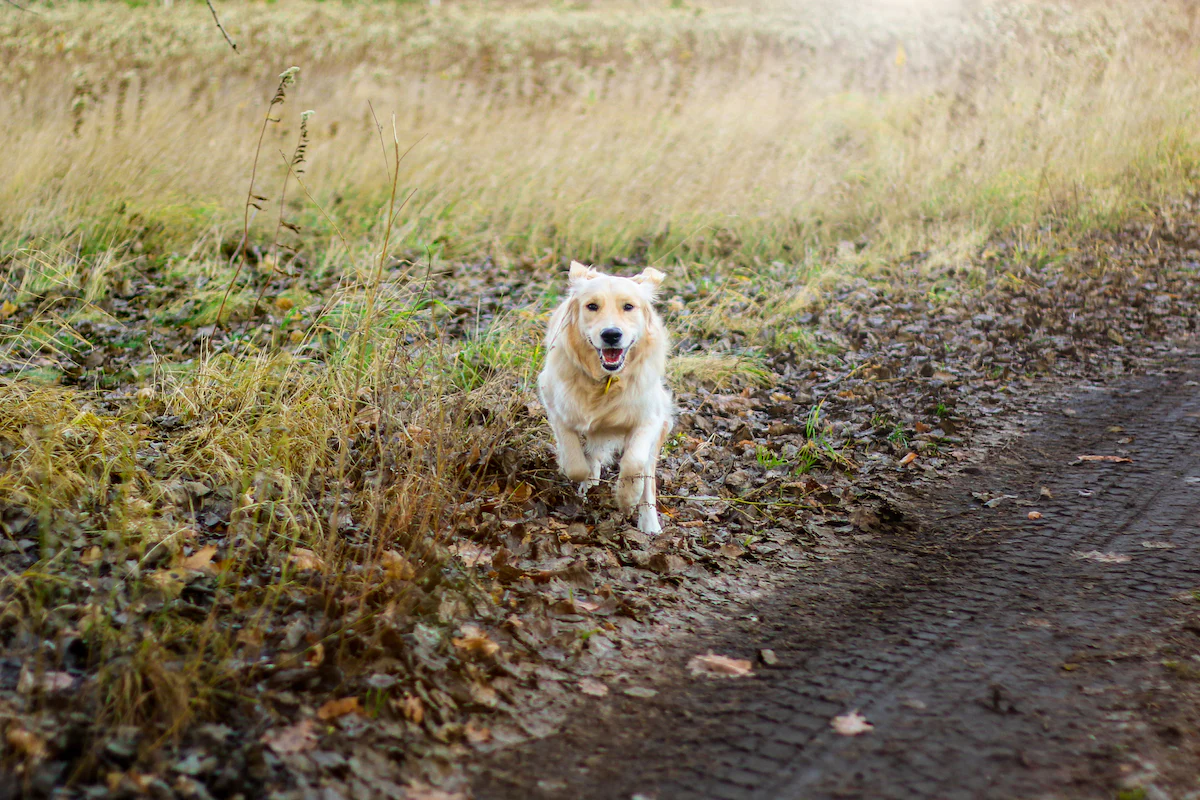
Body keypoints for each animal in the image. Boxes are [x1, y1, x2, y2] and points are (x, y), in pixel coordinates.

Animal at [537, 262, 676, 534]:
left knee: (648, 477)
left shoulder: (650, 418)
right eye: (592, 306)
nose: (611, 334)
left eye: (628, 306)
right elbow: (574, 462)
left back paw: (649, 523)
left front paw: (627, 497)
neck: (606, 380)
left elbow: (634, 462)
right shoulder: (555, 405)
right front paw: (583, 479)